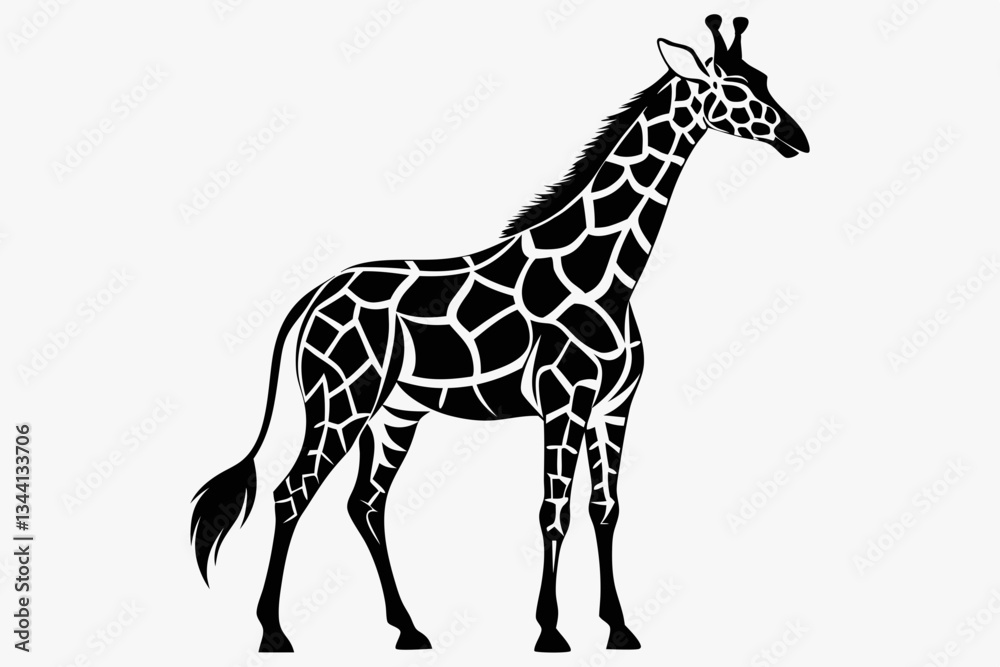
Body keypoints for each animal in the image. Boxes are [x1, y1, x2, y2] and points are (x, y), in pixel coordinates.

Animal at [191, 15, 809, 654]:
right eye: (735, 88)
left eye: (764, 78)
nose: (799, 139)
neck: (608, 273)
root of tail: (313, 296)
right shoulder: (564, 400)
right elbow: (553, 509)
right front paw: (550, 631)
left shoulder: (613, 407)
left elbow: (605, 507)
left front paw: (618, 627)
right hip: (342, 399)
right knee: (292, 493)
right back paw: (273, 632)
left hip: (396, 413)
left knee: (365, 504)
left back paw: (409, 628)